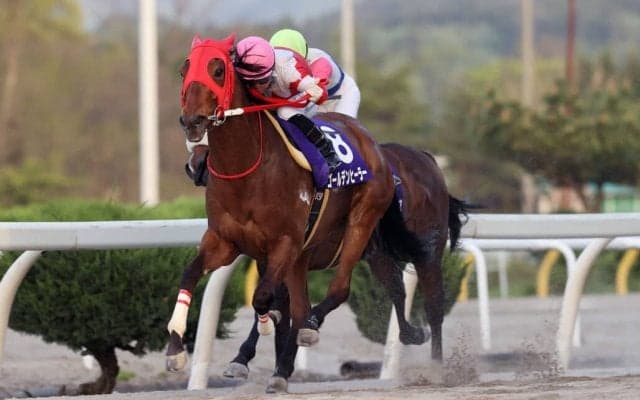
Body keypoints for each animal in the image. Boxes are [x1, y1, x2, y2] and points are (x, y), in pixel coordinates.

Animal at [166, 34, 437, 392]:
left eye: (218, 70)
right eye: (185, 69)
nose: (192, 121)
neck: (246, 170)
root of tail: (372, 144)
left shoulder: (285, 242)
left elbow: (263, 298)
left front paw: (266, 330)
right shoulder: (224, 241)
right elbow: (189, 275)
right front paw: (175, 350)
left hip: (360, 223)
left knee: (337, 290)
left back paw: (309, 328)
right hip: (317, 254)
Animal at [221, 143, 469, 384]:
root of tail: (426, 157)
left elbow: (287, 308)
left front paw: (279, 362)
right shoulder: (269, 263)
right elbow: (270, 307)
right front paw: (247, 361)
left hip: (427, 252)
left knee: (434, 306)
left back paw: (436, 367)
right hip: (378, 255)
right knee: (397, 290)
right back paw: (412, 334)